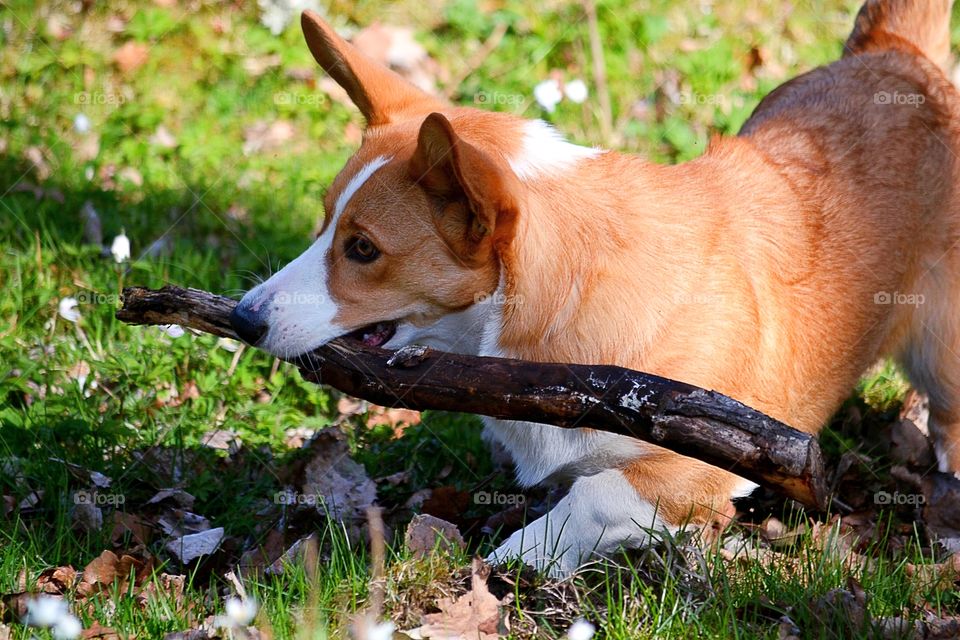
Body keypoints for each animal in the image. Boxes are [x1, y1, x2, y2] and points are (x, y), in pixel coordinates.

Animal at [232, 0, 960, 576]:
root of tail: (896, 54)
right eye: (324, 223)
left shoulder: (690, 470)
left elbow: (592, 498)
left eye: (363, 249)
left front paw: (506, 566)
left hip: (942, 354)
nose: (241, 319)